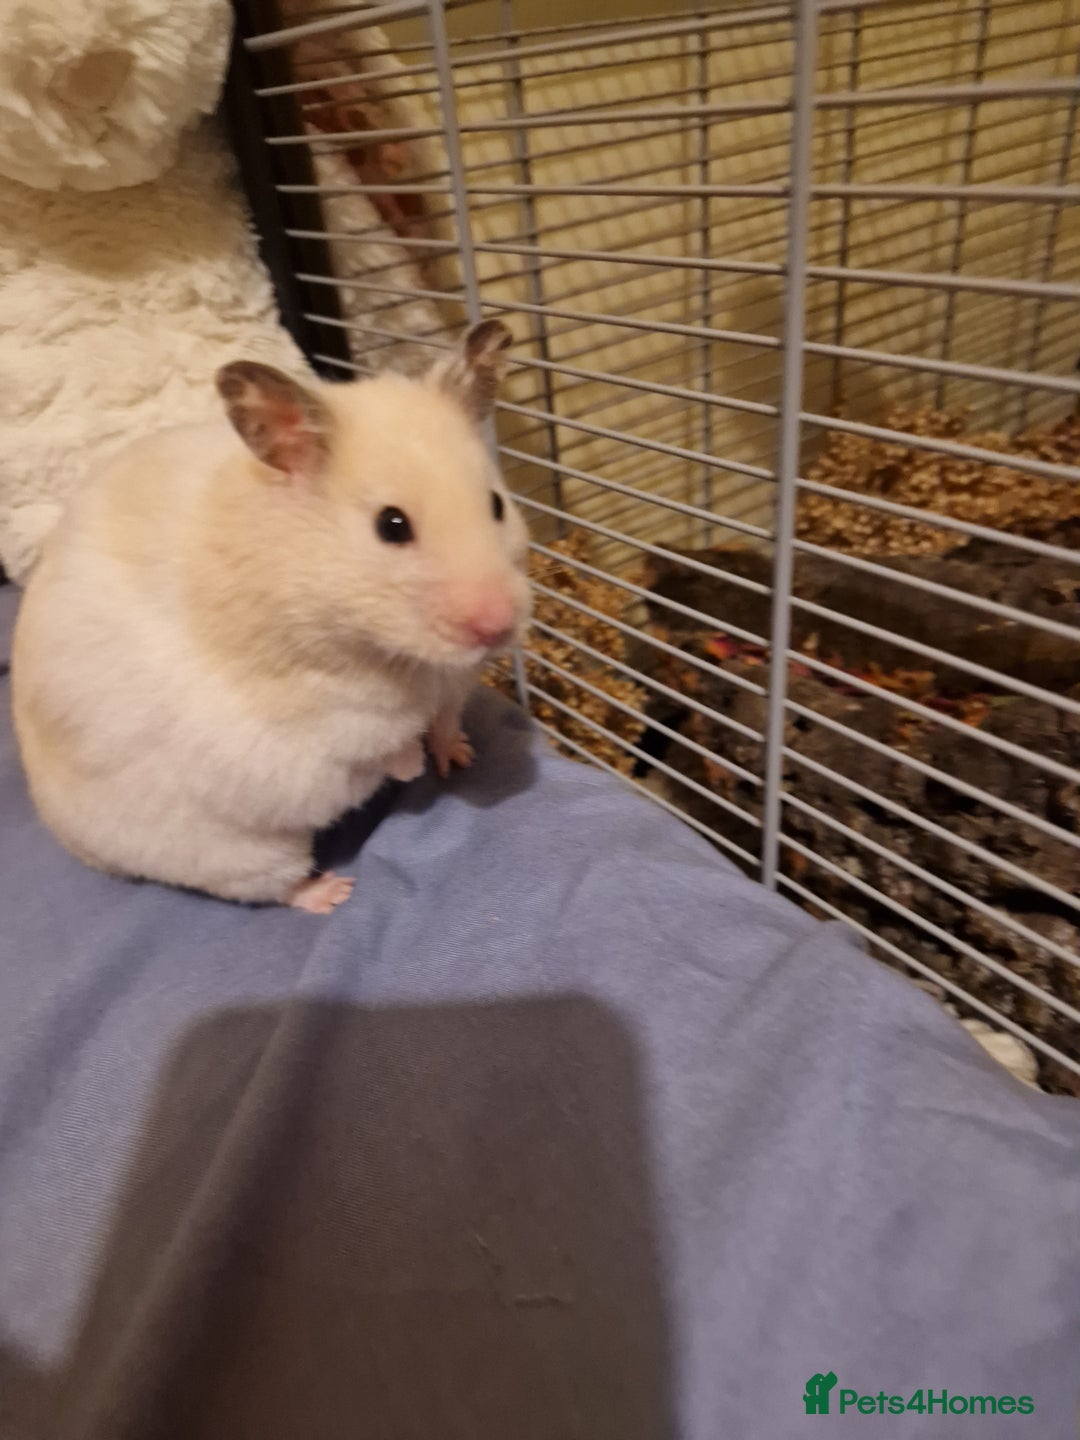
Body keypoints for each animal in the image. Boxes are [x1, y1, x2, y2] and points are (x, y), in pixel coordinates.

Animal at [11, 319, 531, 913]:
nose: (498, 627)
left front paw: (458, 758)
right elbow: (381, 748)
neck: (394, 651)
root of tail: (68, 838)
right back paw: (333, 893)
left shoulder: (453, 683)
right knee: (276, 885)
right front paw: (414, 766)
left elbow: (444, 718)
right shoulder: (328, 726)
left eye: (496, 504)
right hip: (233, 851)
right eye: (391, 525)